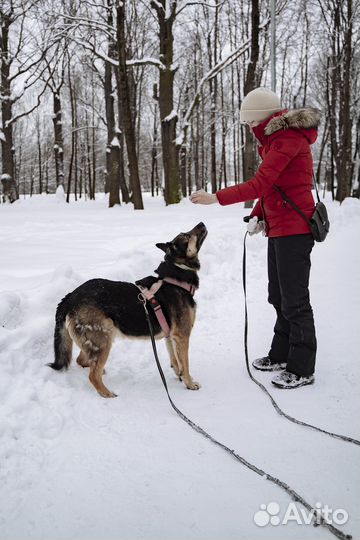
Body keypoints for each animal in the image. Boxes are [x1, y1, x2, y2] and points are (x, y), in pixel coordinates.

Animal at [47, 221, 208, 398]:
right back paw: (107, 393)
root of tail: (70, 297)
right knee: (92, 374)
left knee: (82, 360)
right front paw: (190, 383)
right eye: (186, 235)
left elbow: (176, 361)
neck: (176, 277)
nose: (201, 223)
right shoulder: (182, 336)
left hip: (95, 339)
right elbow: (185, 364)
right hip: (104, 338)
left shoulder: (170, 337)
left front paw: (180, 377)